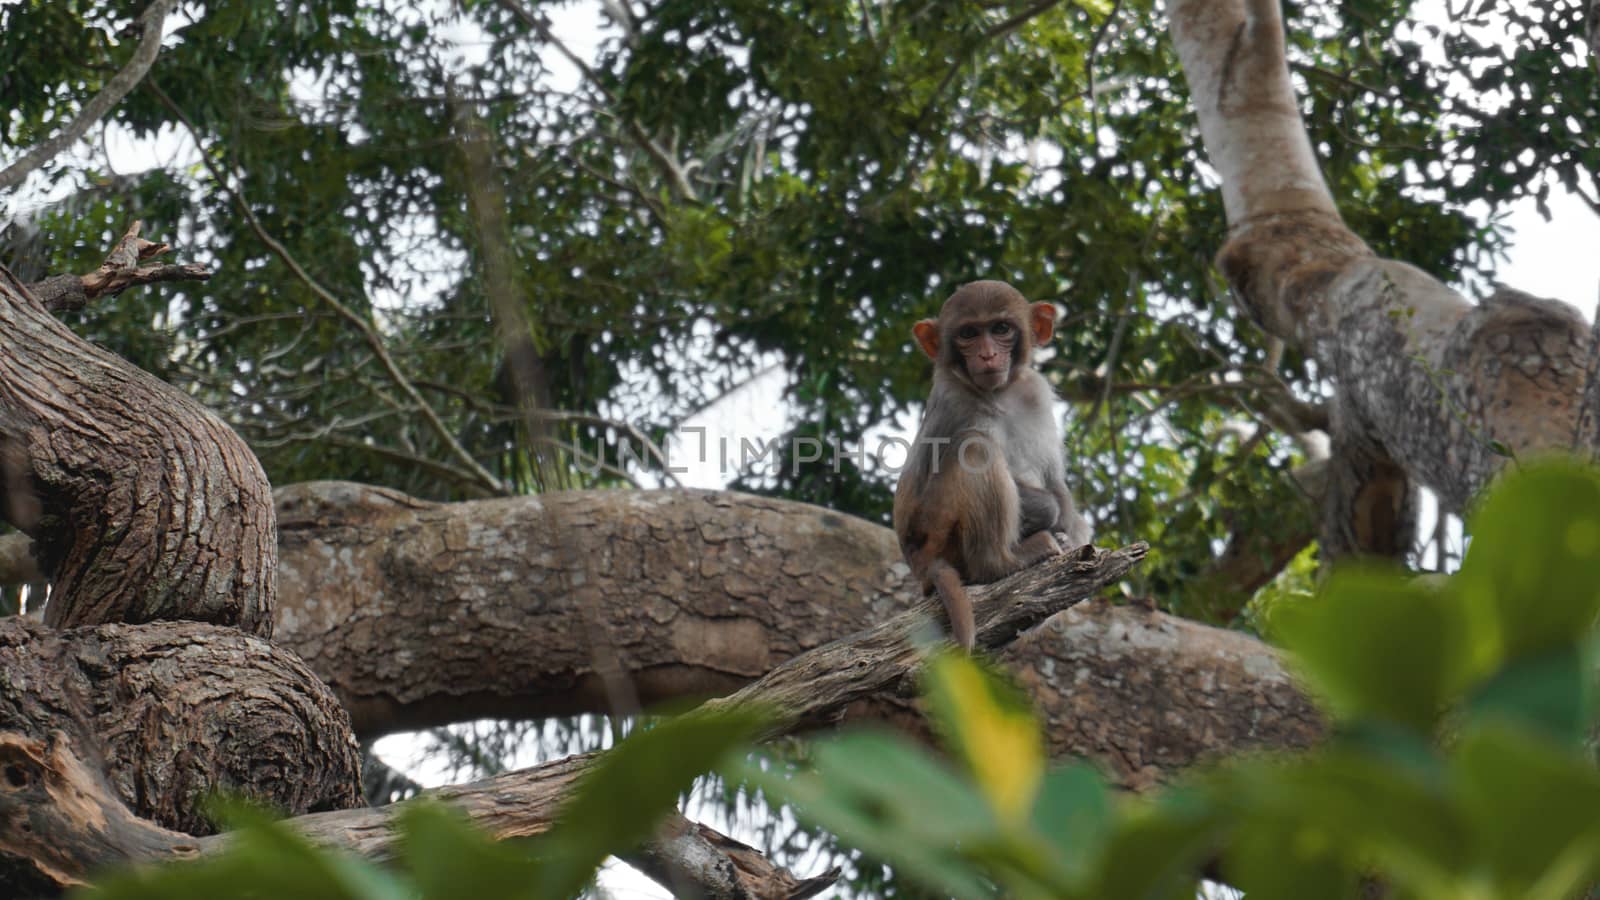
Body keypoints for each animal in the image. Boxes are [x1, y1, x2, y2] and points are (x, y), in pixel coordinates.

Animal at [896, 278, 1094, 643]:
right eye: (968, 333)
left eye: (1001, 329)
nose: (987, 354)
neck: (998, 392)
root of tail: (921, 566)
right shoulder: (954, 402)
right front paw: (1049, 517)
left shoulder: (1035, 392)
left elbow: (1054, 480)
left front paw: (1071, 535)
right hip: (938, 539)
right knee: (977, 449)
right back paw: (1001, 562)